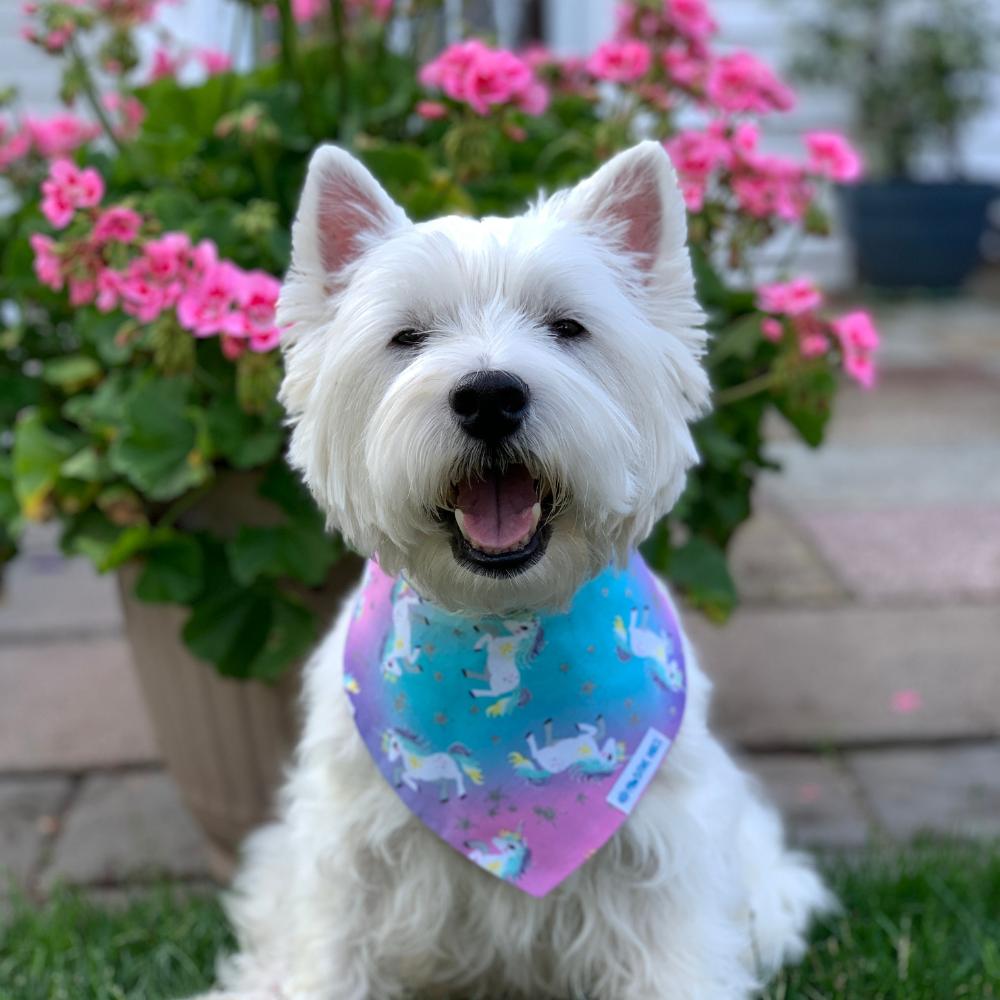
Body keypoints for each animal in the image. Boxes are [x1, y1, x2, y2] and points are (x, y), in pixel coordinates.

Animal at [193, 141, 828, 1000]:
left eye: (568, 327)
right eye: (407, 336)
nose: (490, 395)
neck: (498, 612)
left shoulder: (663, 859)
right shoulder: (347, 855)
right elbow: (330, 957)